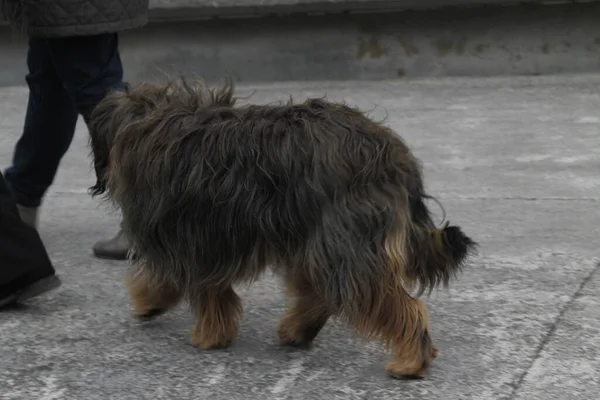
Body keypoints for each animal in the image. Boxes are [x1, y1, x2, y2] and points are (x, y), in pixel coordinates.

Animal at [89, 77, 476, 378]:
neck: (148, 122)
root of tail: (391, 155)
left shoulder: (188, 236)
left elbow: (185, 283)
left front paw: (175, 317)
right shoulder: (205, 238)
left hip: (345, 238)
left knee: (394, 303)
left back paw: (410, 361)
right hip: (315, 237)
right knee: (322, 292)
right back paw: (297, 330)